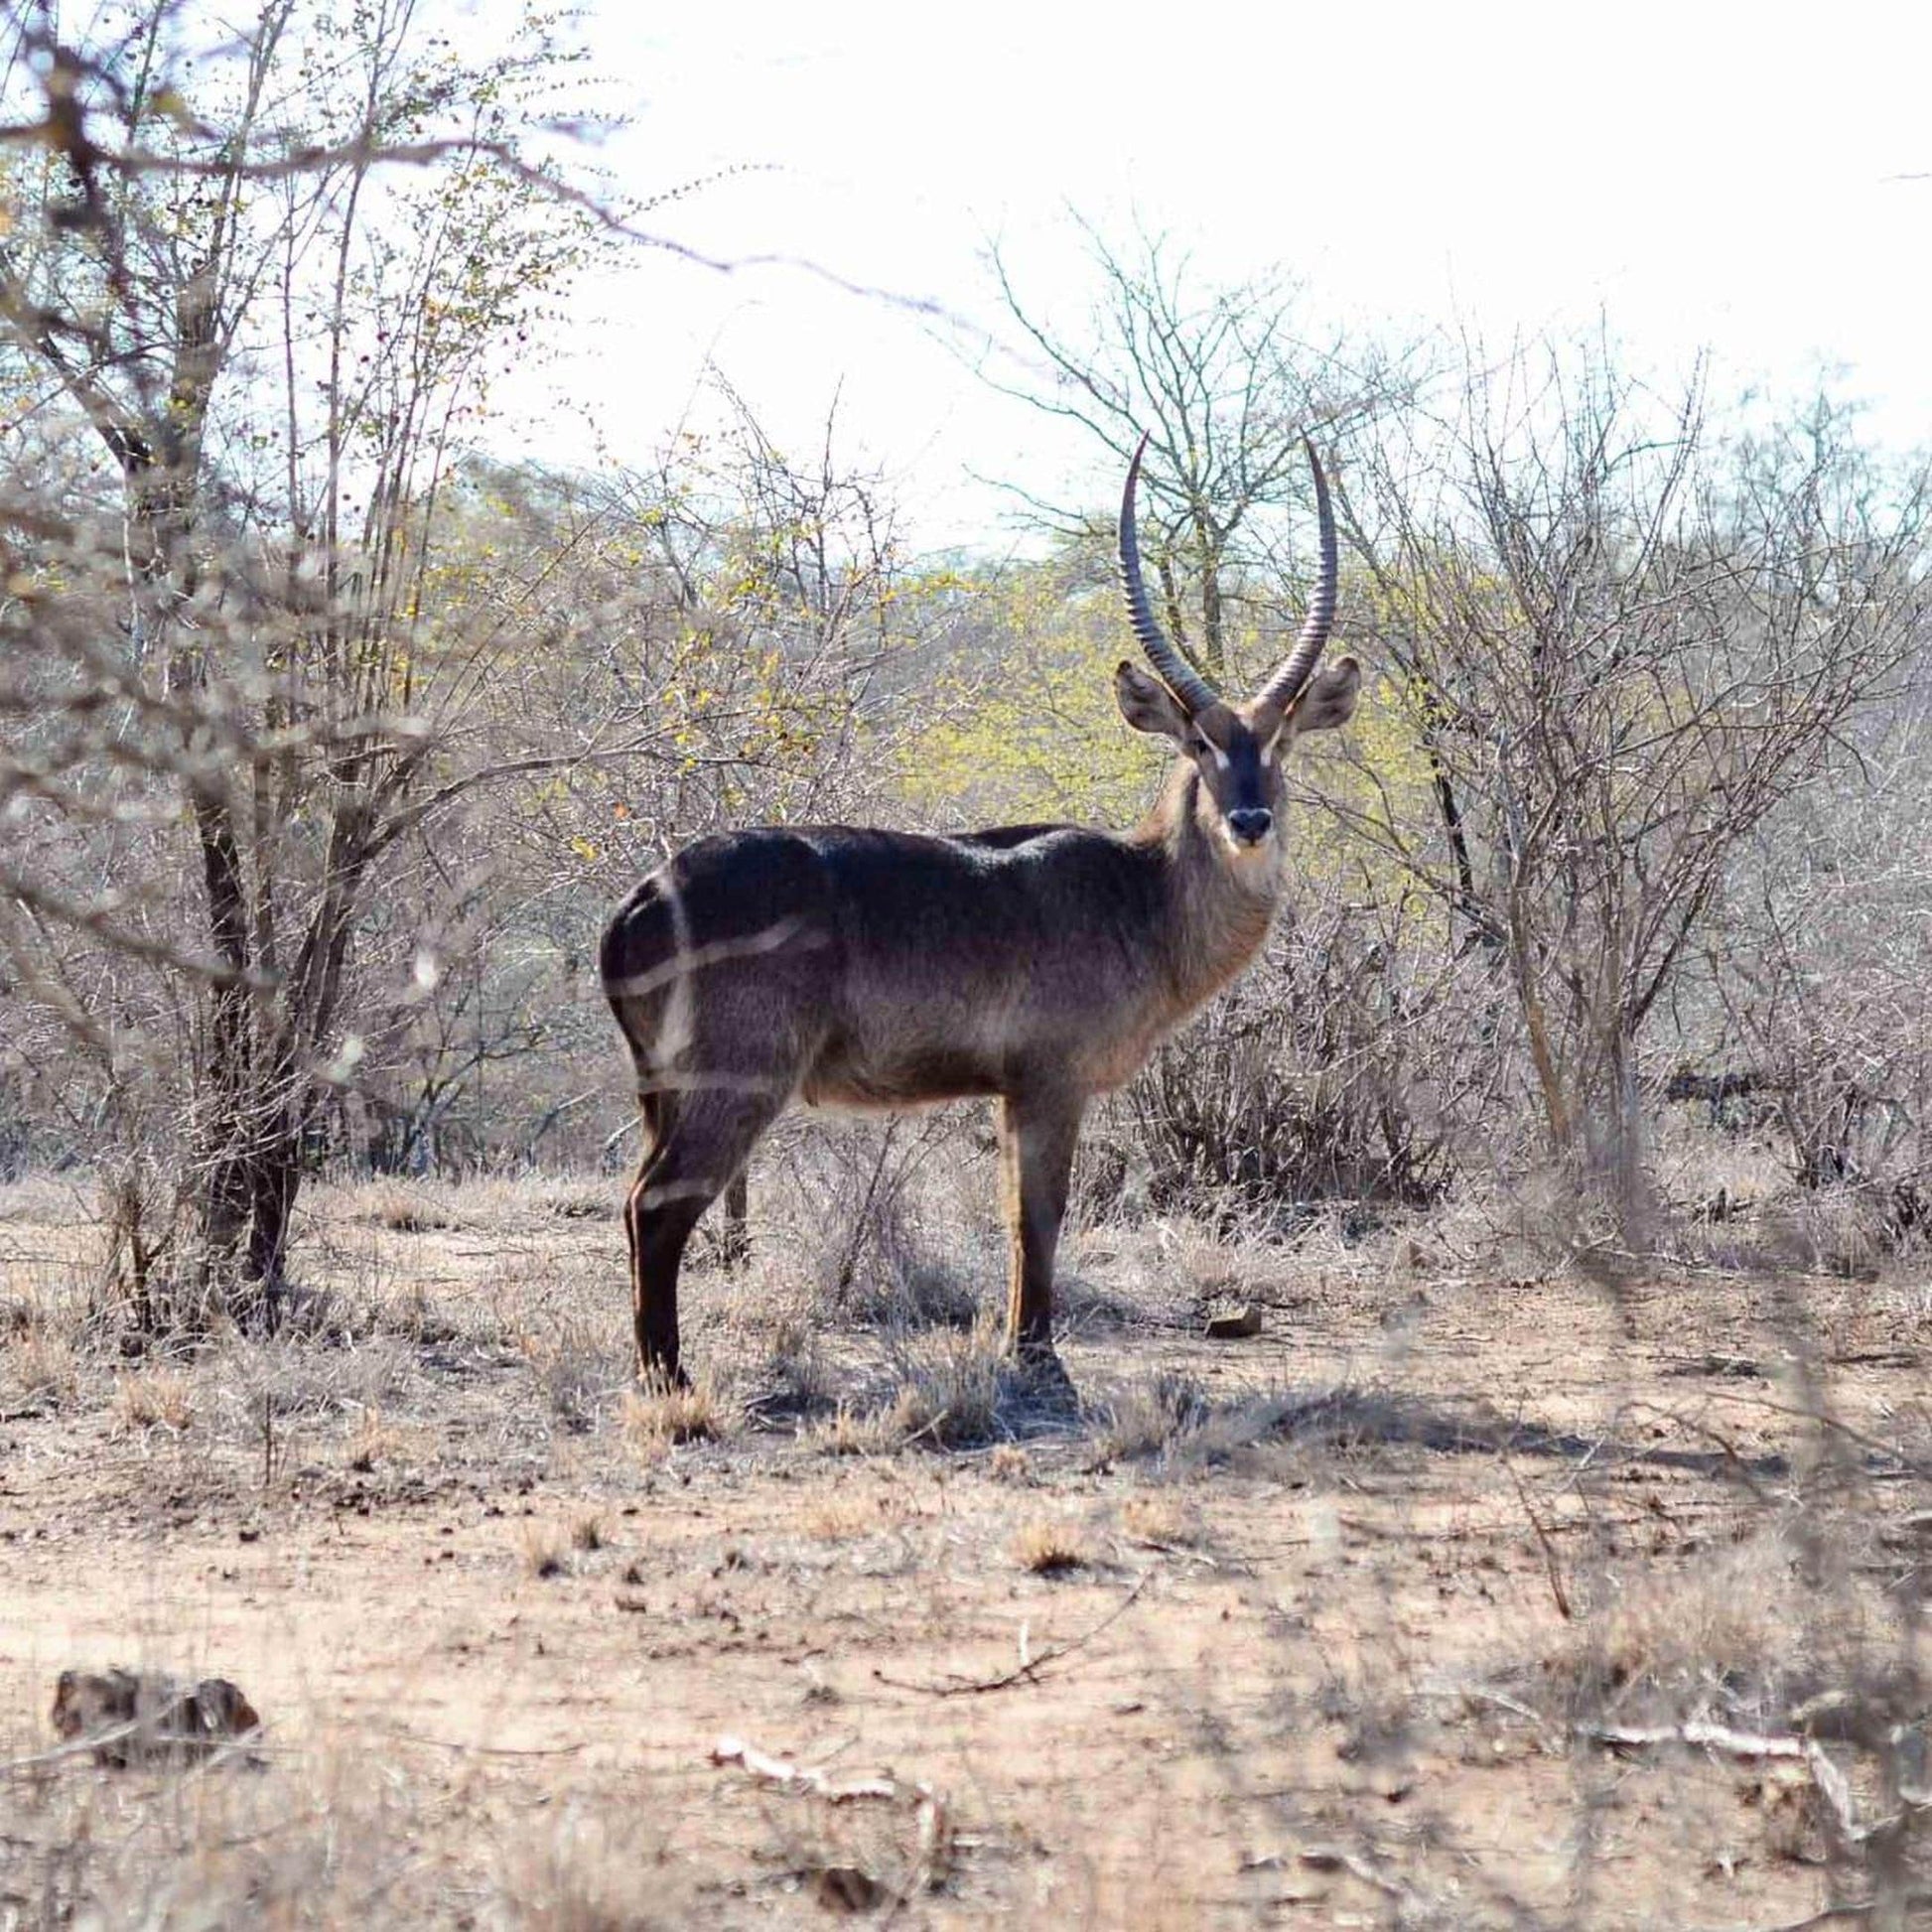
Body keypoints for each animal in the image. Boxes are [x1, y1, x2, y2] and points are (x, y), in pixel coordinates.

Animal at [601, 434, 1359, 1381]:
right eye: (1198, 744)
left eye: (1280, 742)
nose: (1249, 821)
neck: (1141, 894)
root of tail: (641, 898)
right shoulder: (1050, 1079)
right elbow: (1040, 1215)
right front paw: (1036, 1355)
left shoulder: (1012, 1089)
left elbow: (1014, 1216)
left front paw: (1016, 1340)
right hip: (736, 1079)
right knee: (658, 1204)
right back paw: (668, 1377)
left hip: (661, 1090)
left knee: (636, 1201)